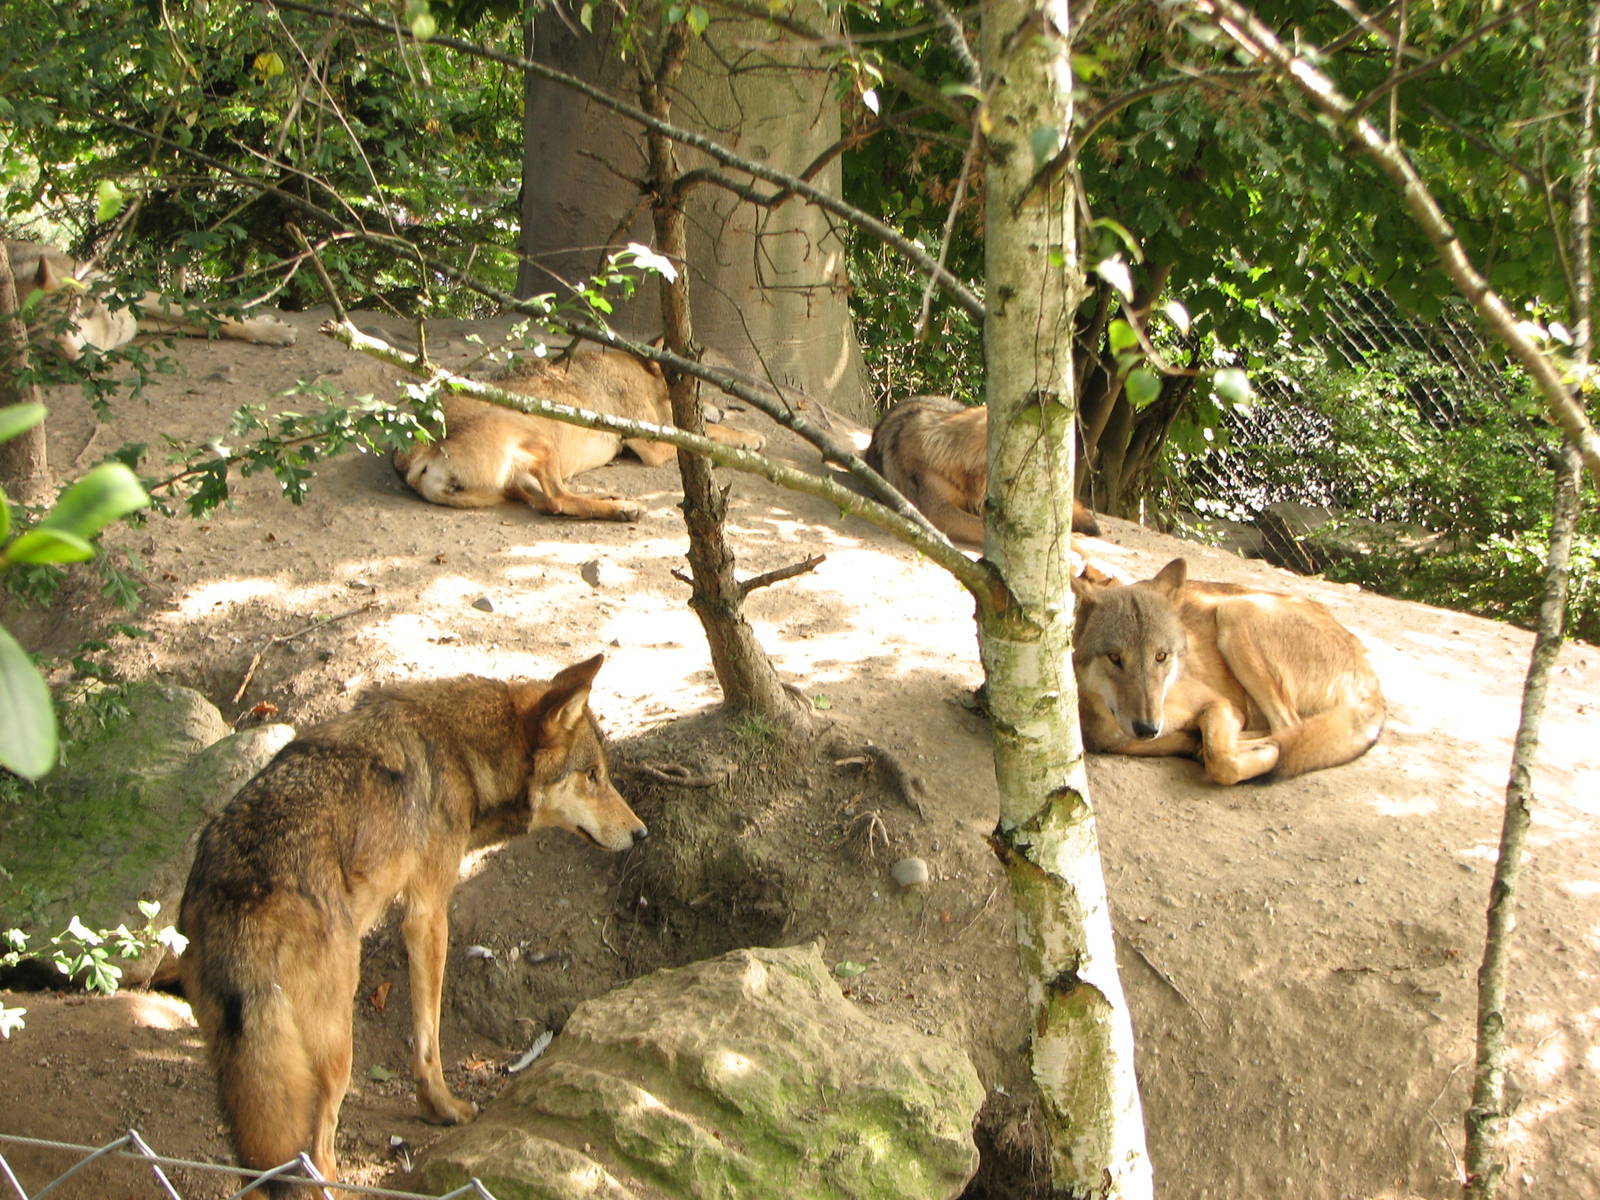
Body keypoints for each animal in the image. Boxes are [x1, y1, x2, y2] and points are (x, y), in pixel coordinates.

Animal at [5, 239, 296, 361]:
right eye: (40, 349)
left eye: (69, 323)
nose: (72, 360)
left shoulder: (134, 299)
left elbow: (211, 317)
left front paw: (272, 331)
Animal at [177, 655, 647, 1195]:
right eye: (592, 775)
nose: (642, 832)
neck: (463, 753)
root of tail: (238, 891)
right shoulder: (428, 912)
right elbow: (428, 1034)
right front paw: (442, 1107)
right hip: (335, 1054)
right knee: (319, 1154)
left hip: (244, 1069)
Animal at [393, 347, 766, 522]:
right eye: (697, 395)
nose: (723, 407)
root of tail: (413, 458)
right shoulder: (652, 443)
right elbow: (706, 434)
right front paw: (748, 438)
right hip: (539, 440)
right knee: (558, 499)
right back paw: (623, 508)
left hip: (521, 475)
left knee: (550, 503)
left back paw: (614, 502)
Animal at [1072, 558, 1385, 783]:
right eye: (1114, 657)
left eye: (1161, 656)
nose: (1148, 728)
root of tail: (1371, 675)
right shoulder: (1112, 742)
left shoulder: (1219, 703)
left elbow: (1221, 759)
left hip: (1236, 611)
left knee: (1287, 728)